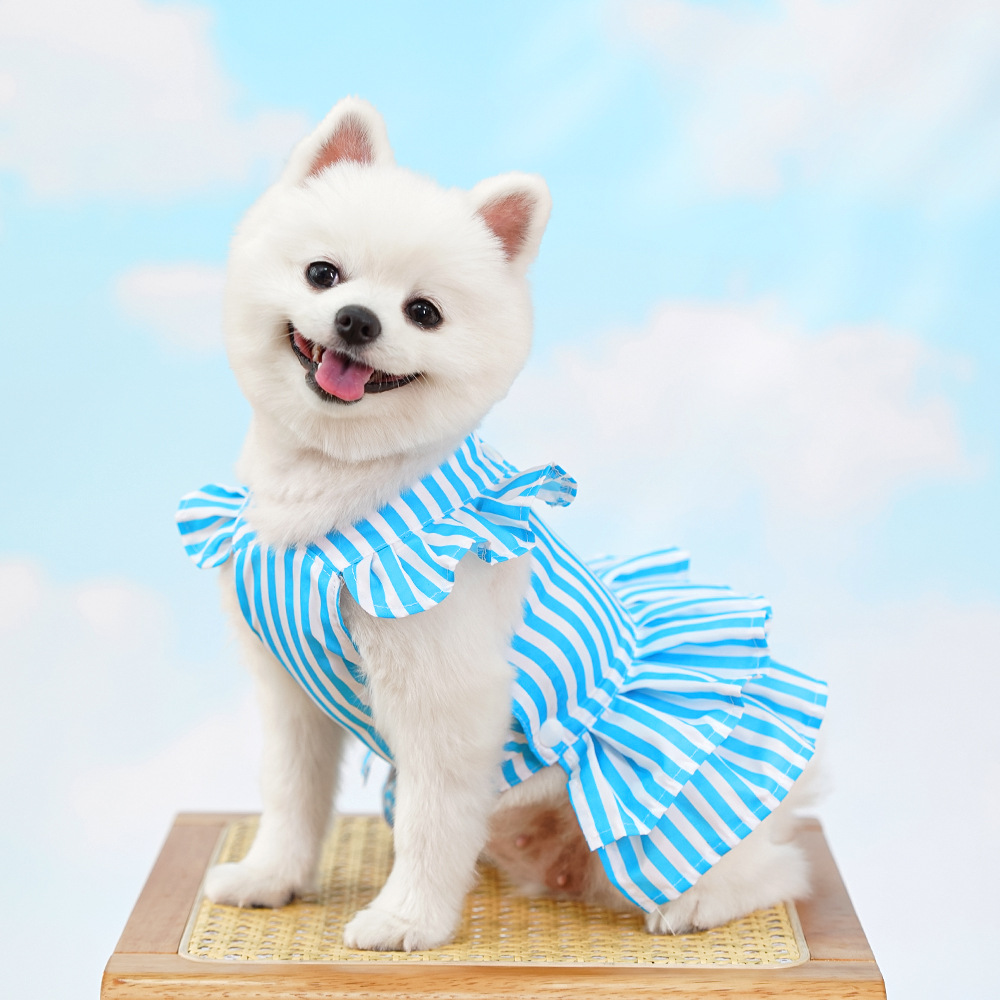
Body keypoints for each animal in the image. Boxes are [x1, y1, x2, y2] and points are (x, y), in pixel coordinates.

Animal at [177, 97, 825, 952]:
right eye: (323, 273)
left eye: (423, 312)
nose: (356, 320)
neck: (331, 491)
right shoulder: (292, 693)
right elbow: (291, 795)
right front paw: (272, 876)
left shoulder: (445, 697)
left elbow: (427, 823)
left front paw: (406, 919)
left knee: (773, 868)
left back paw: (697, 902)